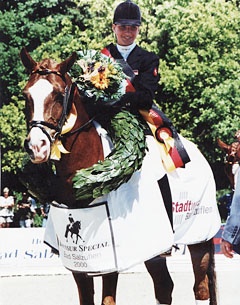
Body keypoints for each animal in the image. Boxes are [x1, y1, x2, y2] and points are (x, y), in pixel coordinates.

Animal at [20, 48, 219, 304]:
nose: (37, 146)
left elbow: (108, 299)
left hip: (199, 238)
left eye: (57, 94)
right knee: (164, 288)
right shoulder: (80, 263)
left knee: (200, 288)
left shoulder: (111, 258)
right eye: (26, 95)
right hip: (154, 248)